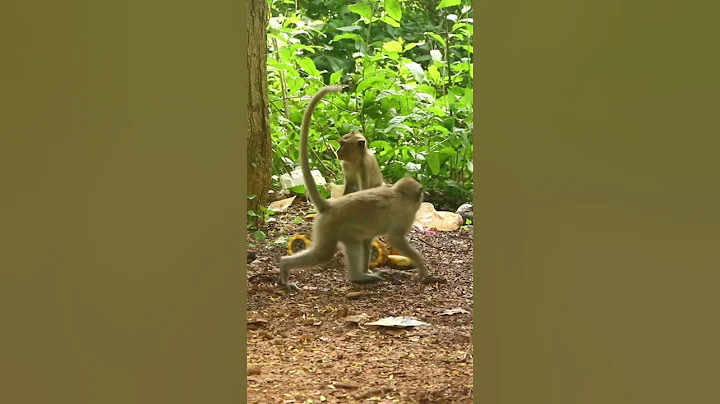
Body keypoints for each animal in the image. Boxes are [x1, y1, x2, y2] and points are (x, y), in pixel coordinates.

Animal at [278, 85, 432, 291]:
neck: (399, 193)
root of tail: (330, 206)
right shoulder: (404, 215)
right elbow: (395, 238)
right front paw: (421, 267)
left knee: (351, 241)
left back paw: (360, 275)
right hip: (329, 226)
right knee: (326, 252)